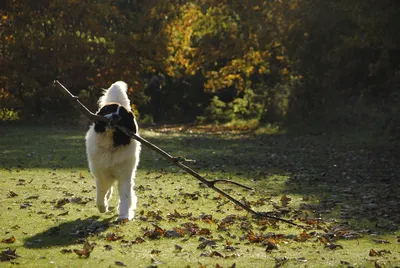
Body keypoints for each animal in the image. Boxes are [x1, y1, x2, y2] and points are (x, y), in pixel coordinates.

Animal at [85, 81, 141, 220]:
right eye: (109, 110)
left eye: (123, 115)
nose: (116, 115)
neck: (111, 144)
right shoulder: (101, 174)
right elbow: (100, 195)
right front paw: (103, 207)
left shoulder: (125, 175)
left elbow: (125, 196)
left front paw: (124, 215)